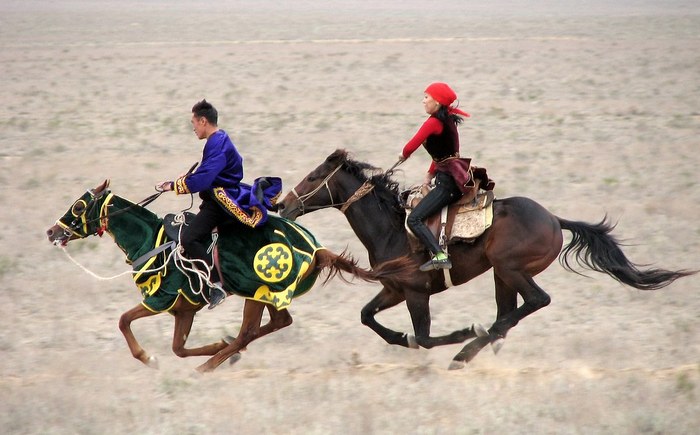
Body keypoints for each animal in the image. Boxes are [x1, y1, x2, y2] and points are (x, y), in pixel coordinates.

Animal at [46, 179, 412, 372]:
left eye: (79, 206)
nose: (52, 232)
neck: (151, 242)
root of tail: (318, 249)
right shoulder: (184, 309)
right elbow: (179, 348)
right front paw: (214, 347)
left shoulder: (160, 300)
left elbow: (124, 321)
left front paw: (148, 358)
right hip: (268, 296)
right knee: (277, 323)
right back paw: (225, 353)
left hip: (256, 291)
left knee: (249, 330)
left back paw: (212, 364)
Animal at [278, 150, 696, 368]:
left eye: (313, 177)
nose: (283, 205)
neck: (392, 229)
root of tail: (553, 219)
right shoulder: (394, 289)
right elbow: (369, 318)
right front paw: (403, 338)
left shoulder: (415, 293)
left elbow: (425, 338)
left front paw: (462, 333)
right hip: (501, 275)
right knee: (510, 311)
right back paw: (482, 343)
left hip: (510, 268)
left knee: (536, 301)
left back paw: (472, 344)